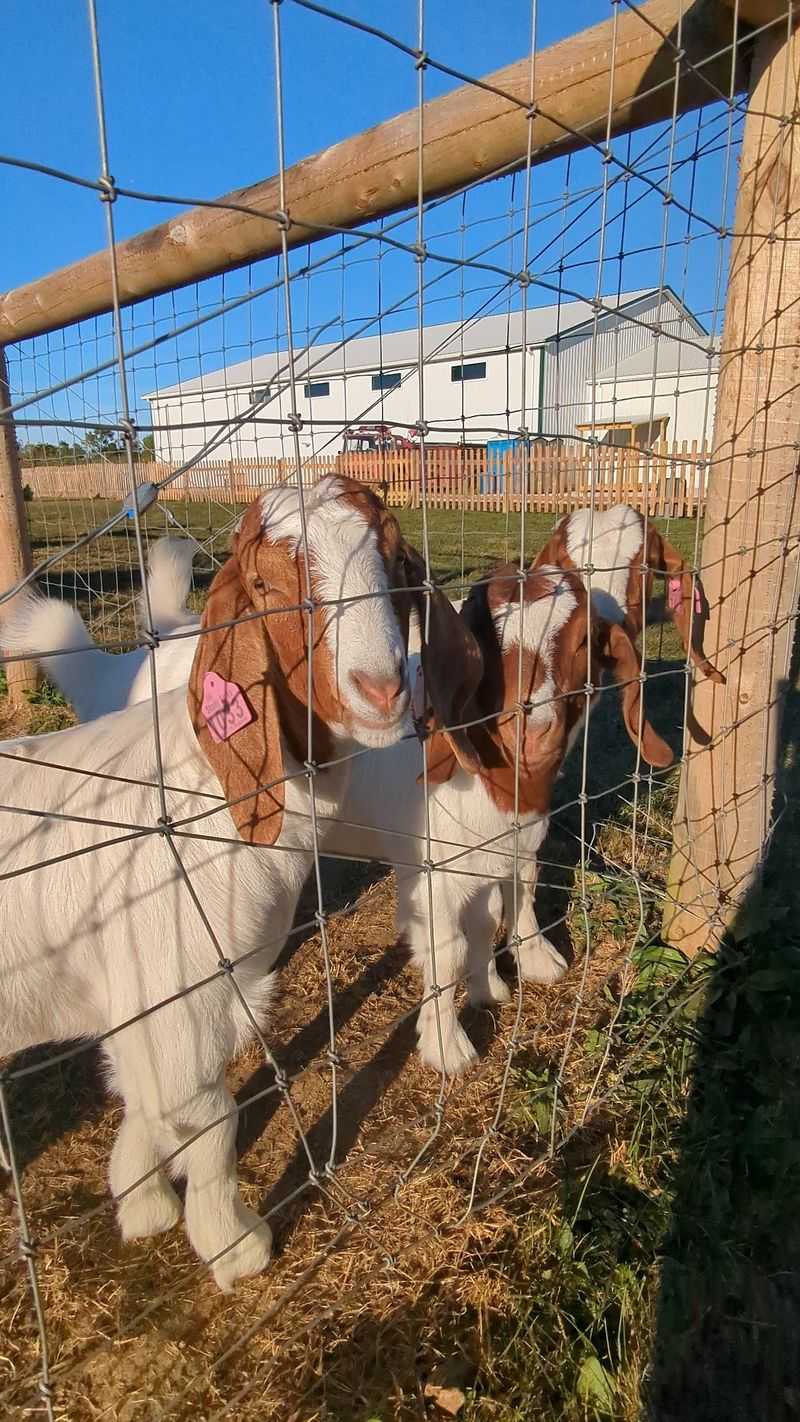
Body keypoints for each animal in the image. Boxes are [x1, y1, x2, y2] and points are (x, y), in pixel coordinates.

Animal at [0, 475, 463, 1289]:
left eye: (398, 564)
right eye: (266, 587)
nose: (379, 691)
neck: (202, 791)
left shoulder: (153, 1000)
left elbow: (148, 1103)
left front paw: (142, 1202)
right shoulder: (173, 992)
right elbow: (207, 1121)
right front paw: (233, 1244)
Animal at [331, 558, 674, 1076]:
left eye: (583, 641)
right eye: (484, 640)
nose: (532, 730)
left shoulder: (509, 846)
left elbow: (503, 906)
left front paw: (509, 976)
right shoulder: (432, 873)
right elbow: (447, 950)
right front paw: (447, 1048)